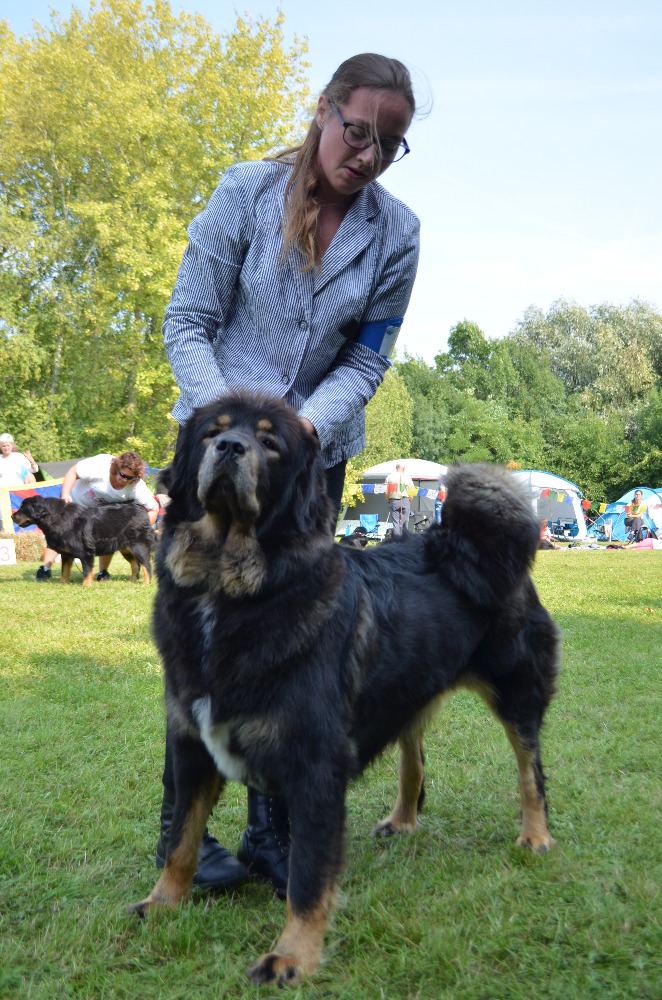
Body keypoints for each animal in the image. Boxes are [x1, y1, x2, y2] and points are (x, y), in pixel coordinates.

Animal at [11, 494, 154, 584]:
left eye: (23, 508)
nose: (12, 516)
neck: (57, 518)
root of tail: (142, 510)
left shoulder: (86, 552)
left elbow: (86, 571)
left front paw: (86, 585)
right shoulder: (66, 554)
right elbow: (65, 571)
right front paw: (62, 584)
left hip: (139, 546)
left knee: (146, 565)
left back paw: (146, 583)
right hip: (126, 549)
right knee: (135, 565)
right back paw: (131, 581)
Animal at [132, 390, 564, 984]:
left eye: (269, 443)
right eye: (211, 433)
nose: (230, 448)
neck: (229, 589)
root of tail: (466, 540)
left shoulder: (315, 763)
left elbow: (309, 875)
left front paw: (292, 955)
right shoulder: (192, 742)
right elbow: (181, 837)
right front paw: (164, 902)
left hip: (516, 690)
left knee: (530, 770)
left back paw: (535, 836)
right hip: (407, 687)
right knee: (414, 759)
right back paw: (403, 820)